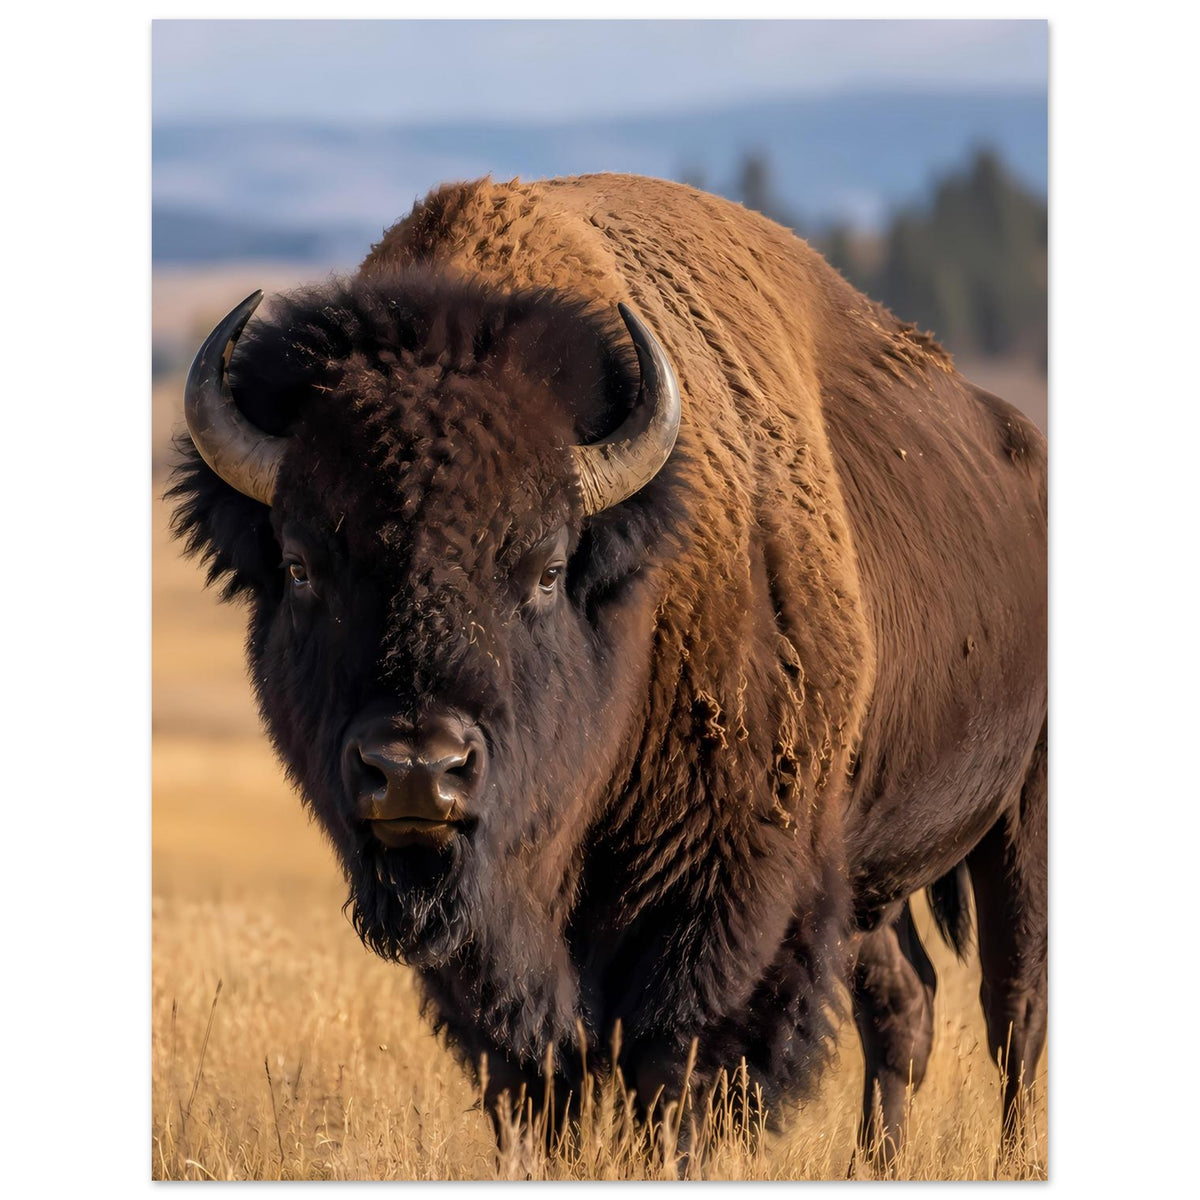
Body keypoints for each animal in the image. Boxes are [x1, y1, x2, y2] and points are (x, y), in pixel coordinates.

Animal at [171, 173, 1047, 1168]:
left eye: (547, 567)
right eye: (300, 565)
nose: (418, 770)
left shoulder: (720, 901)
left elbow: (674, 1071)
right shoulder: (493, 952)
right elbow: (536, 1078)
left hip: (1018, 815)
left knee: (1013, 1006)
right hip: (866, 863)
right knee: (904, 1001)